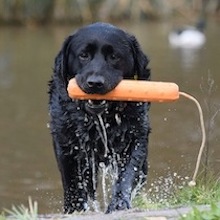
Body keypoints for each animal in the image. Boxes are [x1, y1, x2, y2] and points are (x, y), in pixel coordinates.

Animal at [48, 22, 151, 213]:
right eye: (83, 55)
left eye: (114, 56)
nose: (95, 83)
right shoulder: (66, 144)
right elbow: (73, 181)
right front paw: (75, 209)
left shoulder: (136, 138)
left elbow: (127, 173)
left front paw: (119, 203)